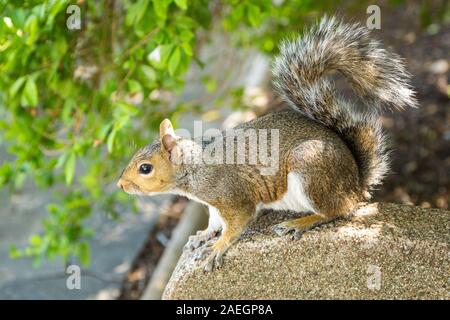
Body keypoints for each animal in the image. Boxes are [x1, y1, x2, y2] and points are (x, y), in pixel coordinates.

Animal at [118, 16, 416, 272]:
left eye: (145, 168)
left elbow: (236, 223)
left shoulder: (231, 195)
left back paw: (300, 222)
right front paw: (202, 235)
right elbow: (215, 221)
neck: (195, 169)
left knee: (337, 210)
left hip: (311, 171)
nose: (120, 185)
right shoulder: (213, 204)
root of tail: (356, 183)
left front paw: (217, 247)